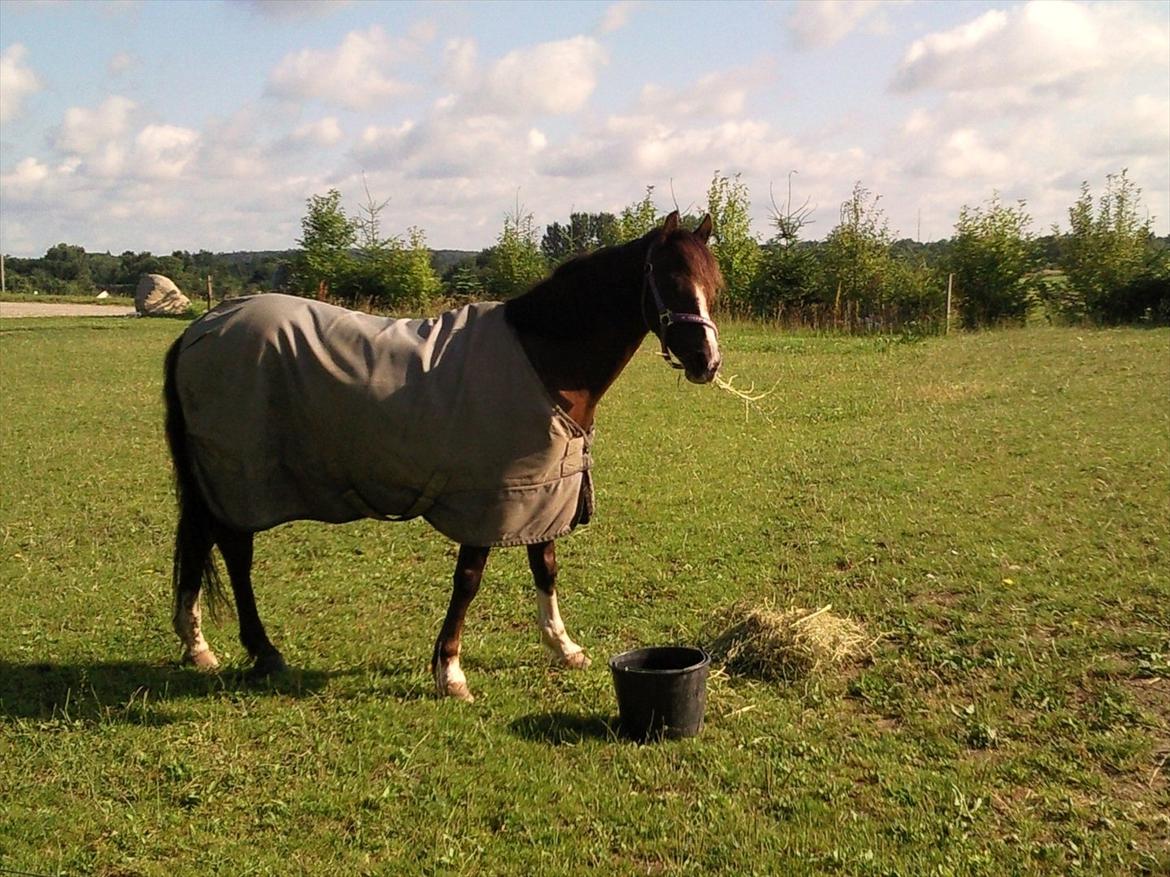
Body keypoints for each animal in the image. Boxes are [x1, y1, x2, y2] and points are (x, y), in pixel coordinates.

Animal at [162, 210, 723, 702]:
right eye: (670, 281)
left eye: (713, 286)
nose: (707, 362)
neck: (541, 358)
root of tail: (201, 329)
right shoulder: (488, 496)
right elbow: (468, 581)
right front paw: (450, 672)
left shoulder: (540, 489)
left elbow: (545, 566)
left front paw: (563, 647)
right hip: (239, 479)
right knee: (236, 552)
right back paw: (262, 650)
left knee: (203, 542)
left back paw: (199, 646)